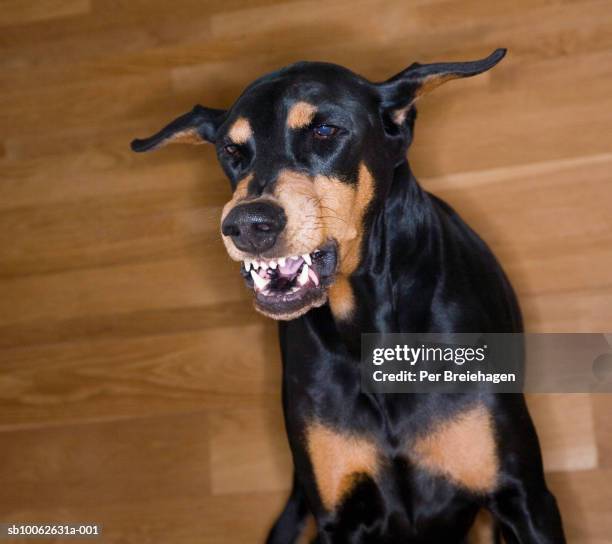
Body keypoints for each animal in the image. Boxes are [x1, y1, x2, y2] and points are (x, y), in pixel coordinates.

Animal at [131, 50, 568, 544]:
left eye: (325, 130)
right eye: (232, 150)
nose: (247, 225)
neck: (367, 328)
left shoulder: (525, 499)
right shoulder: (340, 516)